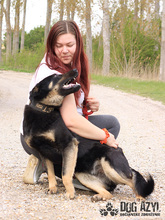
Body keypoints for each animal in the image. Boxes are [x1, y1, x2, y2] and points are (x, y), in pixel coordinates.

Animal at [23, 70, 155, 201]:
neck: (44, 110)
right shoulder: (44, 152)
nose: (75, 70)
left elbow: (65, 174)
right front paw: (52, 188)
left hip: (110, 166)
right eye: (56, 75)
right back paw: (99, 197)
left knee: (132, 180)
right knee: (109, 193)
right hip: (83, 176)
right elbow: (50, 173)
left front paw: (70, 193)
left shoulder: (68, 145)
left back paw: (140, 197)